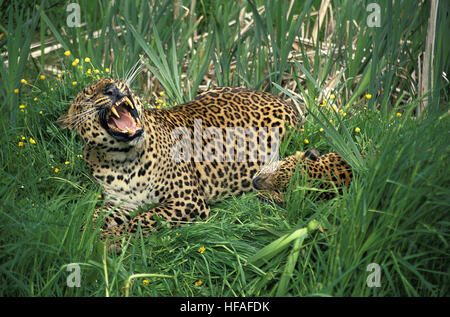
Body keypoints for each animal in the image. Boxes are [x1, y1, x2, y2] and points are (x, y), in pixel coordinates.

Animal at [57, 78, 302, 246]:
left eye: (117, 81)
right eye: (88, 96)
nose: (113, 89)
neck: (123, 160)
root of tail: (285, 101)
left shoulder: (186, 200)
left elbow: (143, 219)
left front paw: (110, 238)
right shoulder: (121, 202)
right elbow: (93, 214)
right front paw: (77, 232)